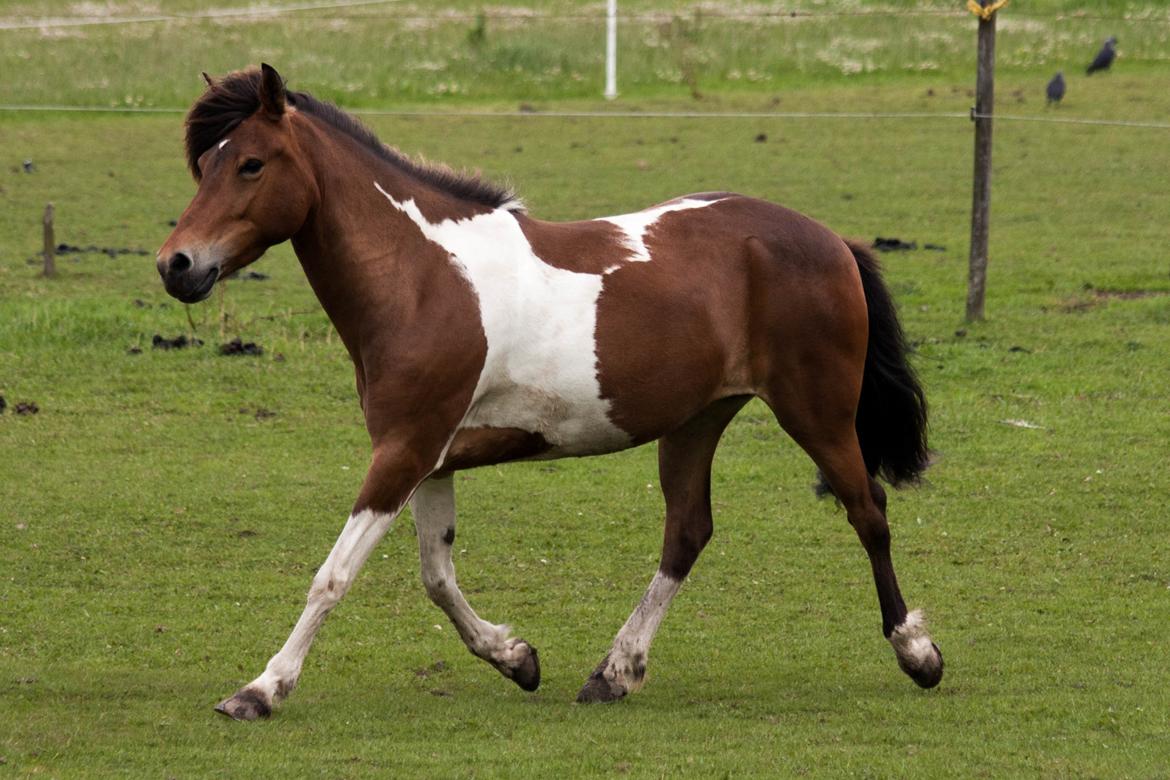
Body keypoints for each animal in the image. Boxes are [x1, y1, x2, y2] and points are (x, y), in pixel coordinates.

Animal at [157, 64, 940, 725]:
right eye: (205, 163)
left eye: (251, 163)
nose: (177, 265)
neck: (421, 278)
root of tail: (831, 240)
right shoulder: (429, 458)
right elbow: (436, 576)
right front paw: (516, 658)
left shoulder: (403, 453)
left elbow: (334, 575)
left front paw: (260, 690)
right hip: (696, 420)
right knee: (687, 532)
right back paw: (615, 672)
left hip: (817, 411)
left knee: (867, 510)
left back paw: (918, 654)